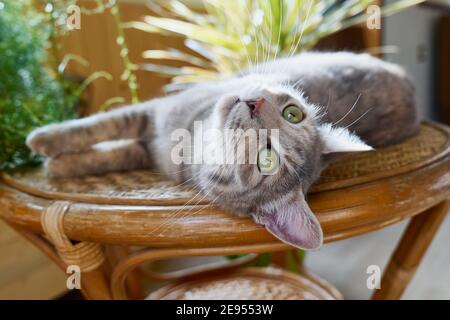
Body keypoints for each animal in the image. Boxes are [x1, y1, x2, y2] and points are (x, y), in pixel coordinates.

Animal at [26, 52, 420, 251]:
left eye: (267, 159)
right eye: (294, 113)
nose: (255, 103)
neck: (190, 141)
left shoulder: (149, 132)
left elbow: (104, 139)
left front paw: (47, 153)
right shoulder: (151, 119)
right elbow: (103, 131)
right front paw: (52, 148)